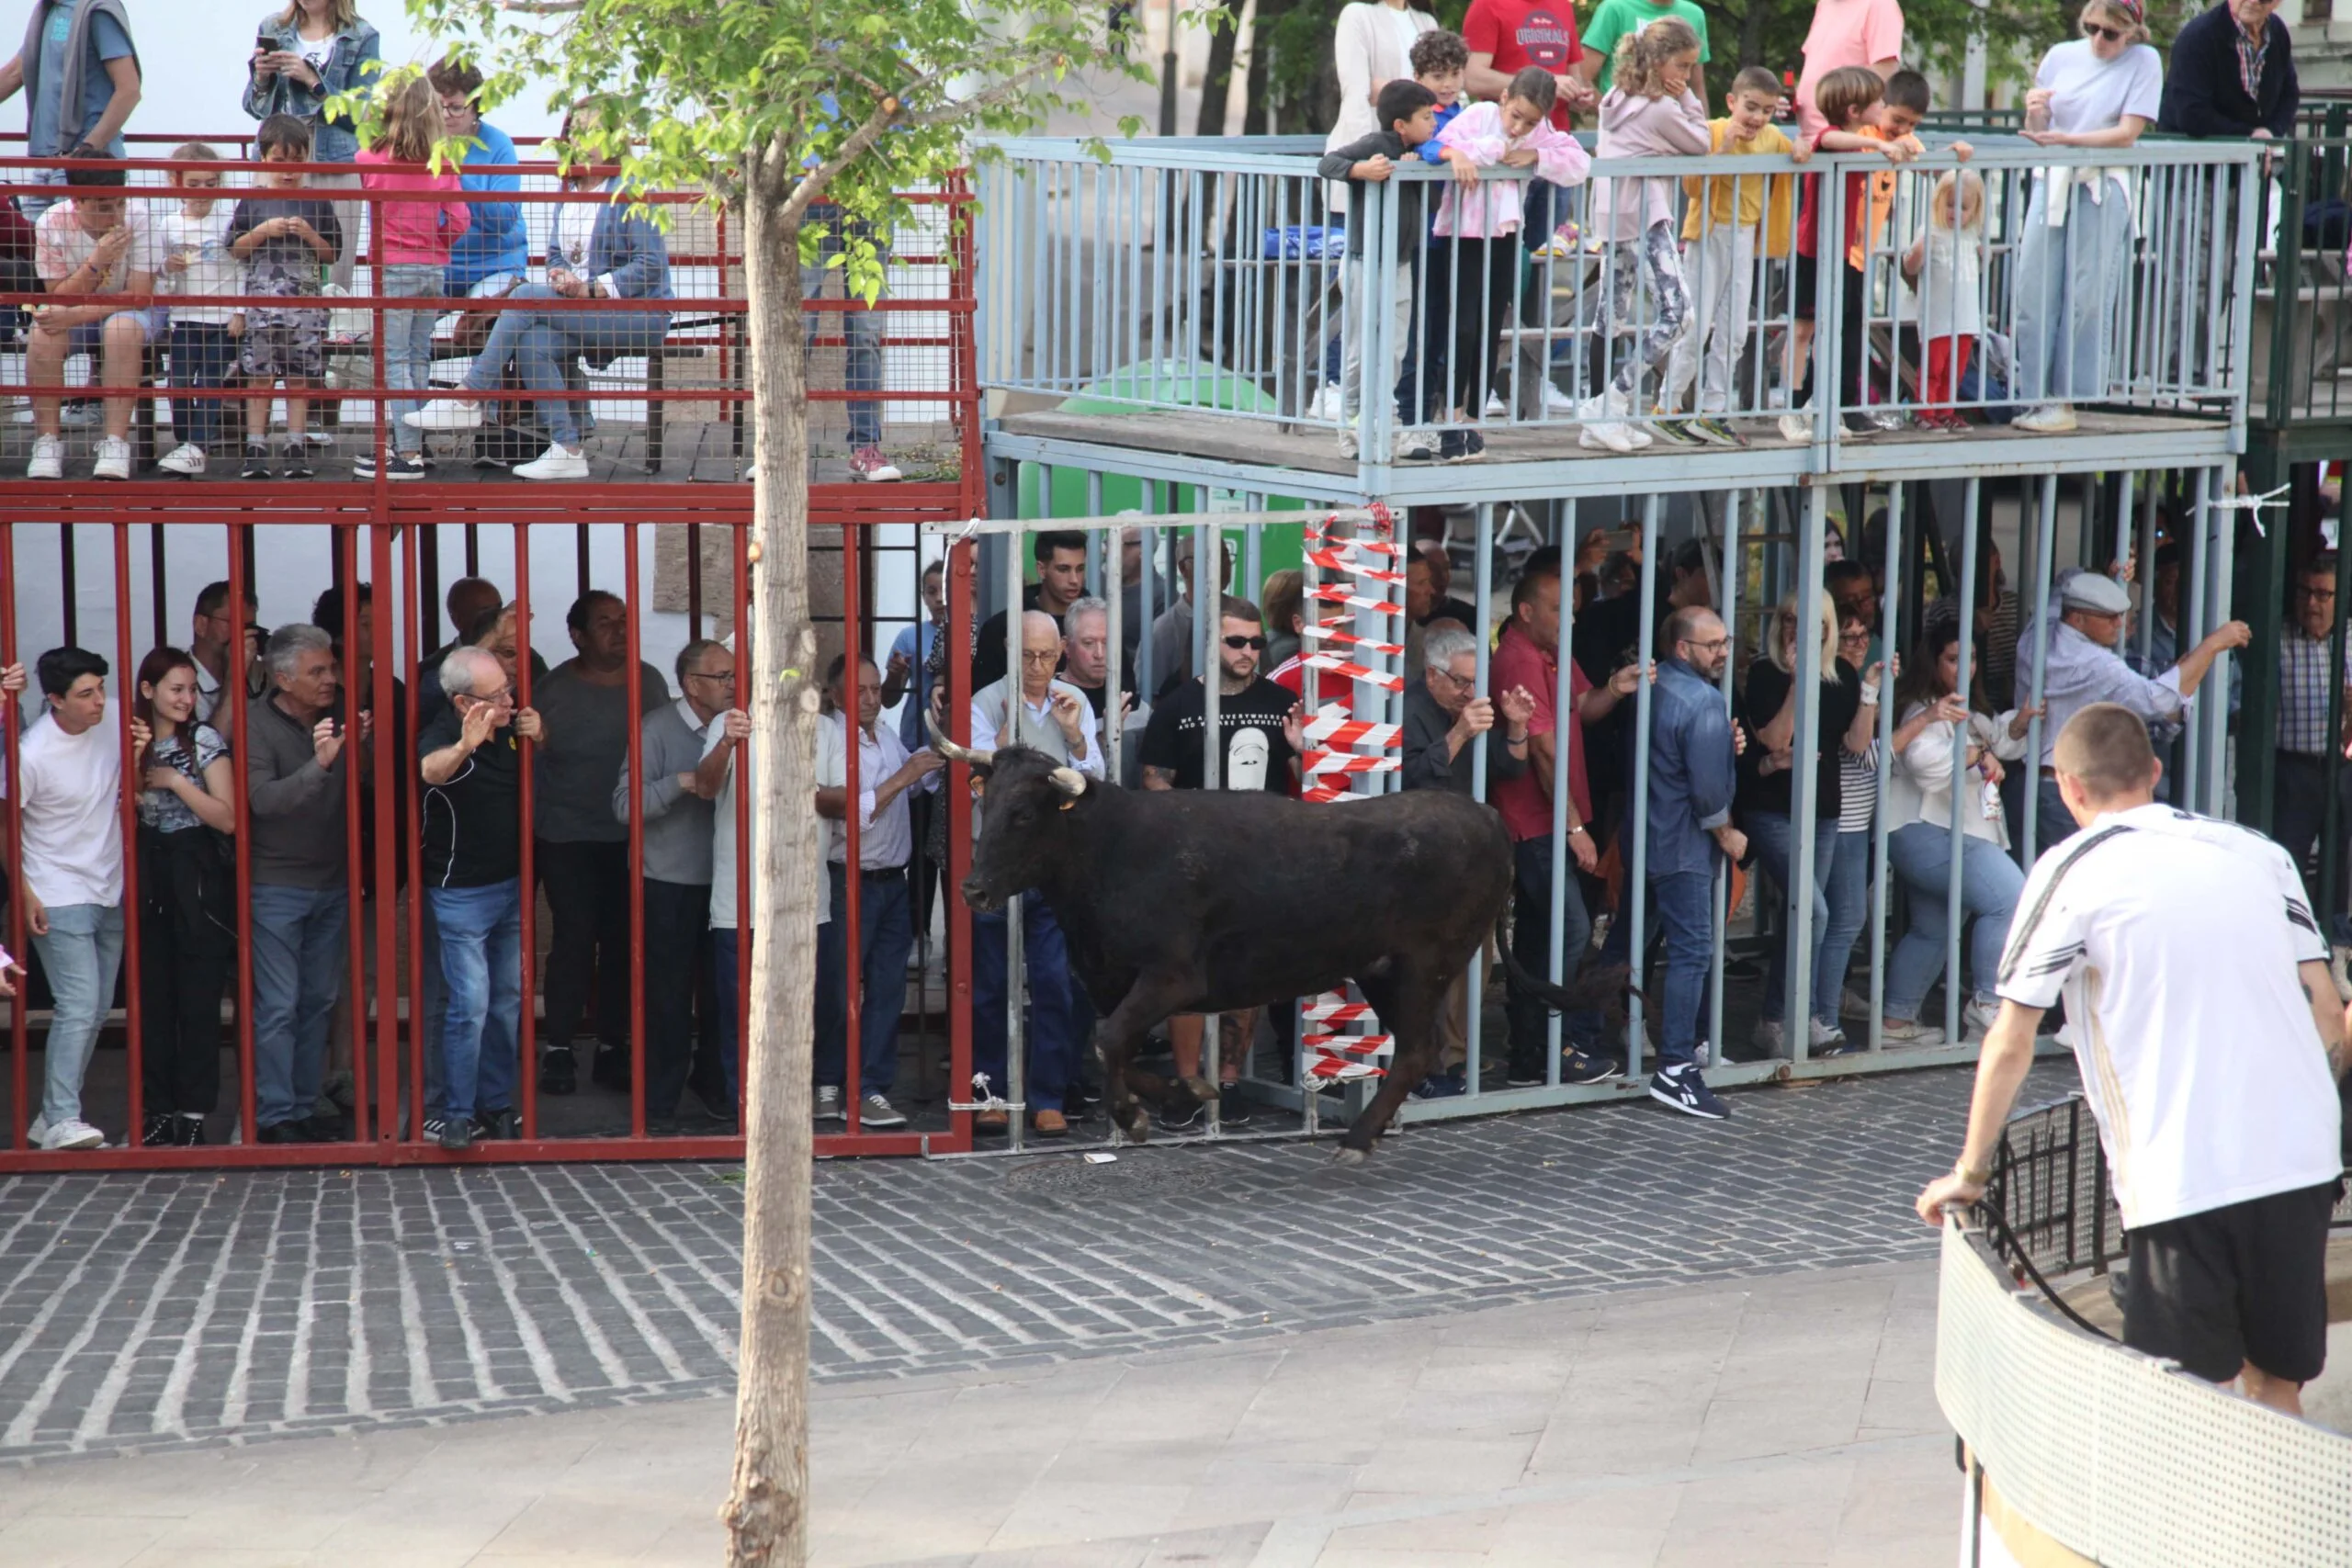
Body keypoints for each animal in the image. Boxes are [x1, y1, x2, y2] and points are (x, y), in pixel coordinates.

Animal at [931, 742, 1618, 1161]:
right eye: (986, 800)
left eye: (1024, 813)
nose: (973, 888)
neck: (1112, 848)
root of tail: (1488, 818)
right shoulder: (1108, 980)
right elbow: (1113, 1046)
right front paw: (1185, 1093)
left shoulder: (1173, 977)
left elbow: (1108, 1040)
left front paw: (1136, 1113)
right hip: (1383, 970)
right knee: (1413, 1050)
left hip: (1424, 966)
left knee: (1415, 1051)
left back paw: (1357, 1138)